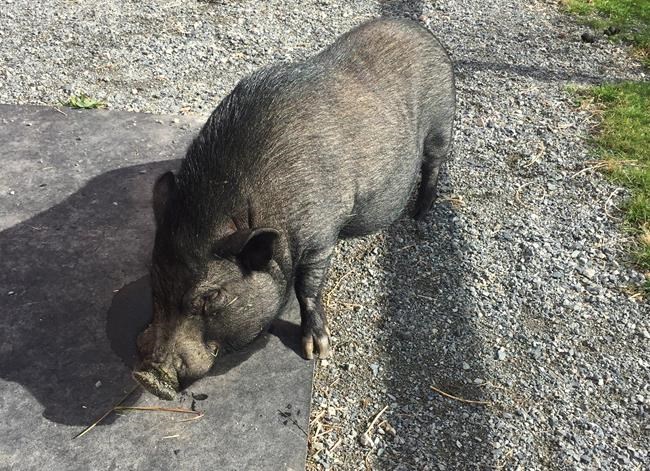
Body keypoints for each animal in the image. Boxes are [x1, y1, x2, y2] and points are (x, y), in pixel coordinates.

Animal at [132, 17, 455, 400]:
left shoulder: (320, 237)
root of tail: (416, 27)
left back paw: (420, 216)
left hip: (442, 124)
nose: (147, 375)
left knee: (434, 163)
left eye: (211, 296)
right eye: (155, 281)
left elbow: (308, 288)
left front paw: (316, 351)